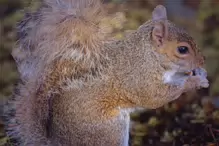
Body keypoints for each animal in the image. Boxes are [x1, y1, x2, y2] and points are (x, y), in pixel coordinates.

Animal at [3, 0, 209, 146]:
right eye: (182, 49)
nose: (202, 61)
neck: (149, 55)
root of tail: (54, 143)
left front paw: (200, 75)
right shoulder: (139, 78)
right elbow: (155, 97)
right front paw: (193, 82)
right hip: (111, 130)